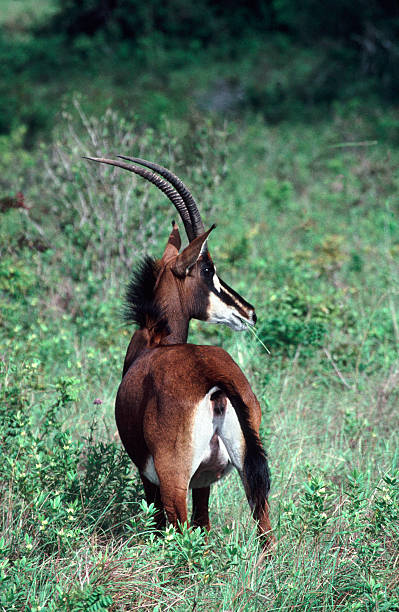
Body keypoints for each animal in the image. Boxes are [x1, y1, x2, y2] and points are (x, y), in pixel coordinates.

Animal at [85, 155, 276, 548]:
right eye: (208, 269)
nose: (249, 311)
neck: (155, 340)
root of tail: (215, 382)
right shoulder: (204, 479)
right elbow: (205, 523)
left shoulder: (149, 475)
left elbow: (159, 522)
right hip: (247, 472)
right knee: (263, 528)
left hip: (173, 480)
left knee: (179, 529)